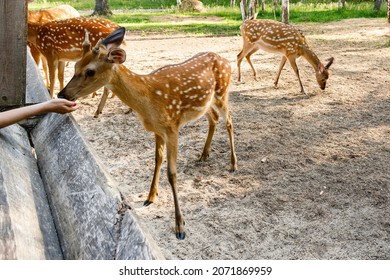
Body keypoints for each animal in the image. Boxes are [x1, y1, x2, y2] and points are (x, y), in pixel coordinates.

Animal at [56, 27, 236, 240]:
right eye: (75, 65)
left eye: (90, 71)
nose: (61, 94)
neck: (148, 101)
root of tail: (226, 61)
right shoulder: (158, 130)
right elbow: (157, 160)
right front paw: (150, 197)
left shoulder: (172, 127)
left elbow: (172, 173)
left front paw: (180, 226)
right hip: (205, 104)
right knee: (214, 118)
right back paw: (203, 155)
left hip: (222, 93)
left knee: (229, 121)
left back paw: (233, 164)